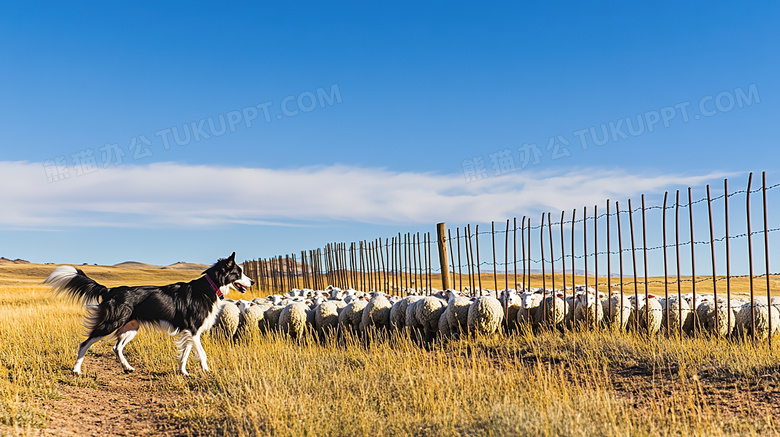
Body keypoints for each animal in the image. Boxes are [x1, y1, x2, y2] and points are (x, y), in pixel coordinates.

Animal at [43, 252, 253, 374]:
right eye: (239, 273)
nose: (252, 282)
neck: (209, 287)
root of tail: (110, 290)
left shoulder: (188, 332)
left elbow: (185, 353)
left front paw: (183, 372)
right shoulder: (193, 330)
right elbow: (201, 353)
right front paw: (206, 370)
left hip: (130, 327)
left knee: (116, 348)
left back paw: (127, 367)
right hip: (112, 322)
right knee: (84, 343)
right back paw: (76, 370)